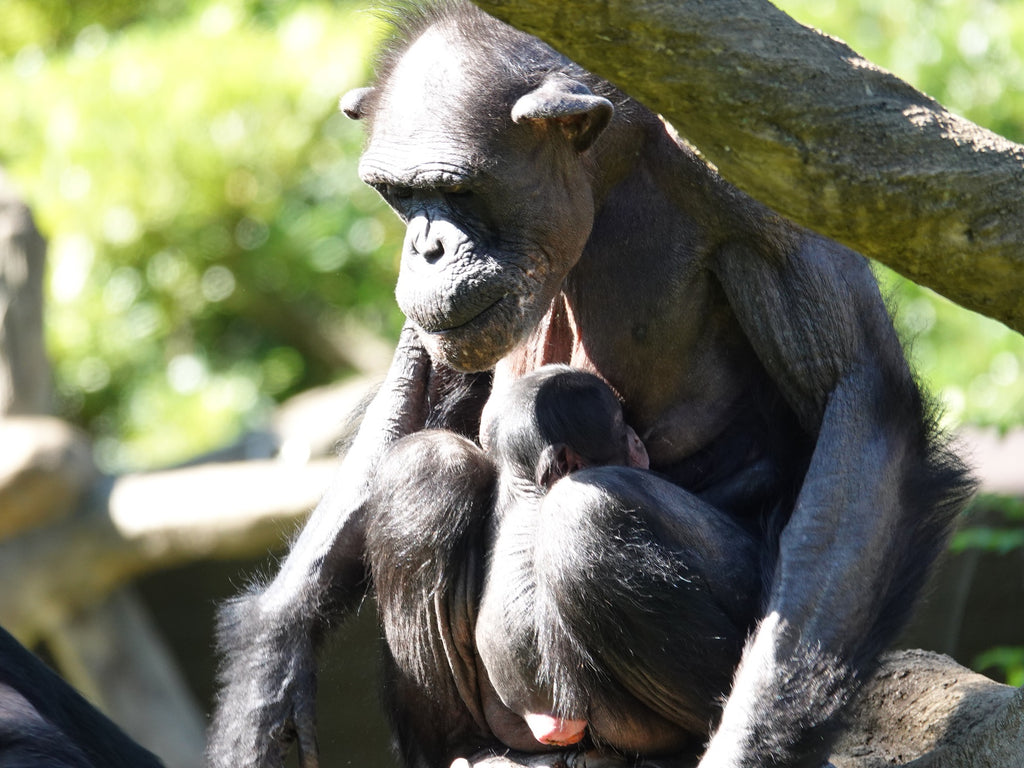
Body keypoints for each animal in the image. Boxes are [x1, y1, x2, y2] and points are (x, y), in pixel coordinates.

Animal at [203, 1, 970, 768]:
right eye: (400, 195)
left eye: (456, 190)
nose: (426, 247)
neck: (608, 170)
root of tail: (560, 732)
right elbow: (416, 394)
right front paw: (270, 674)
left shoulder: (753, 183)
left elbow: (854, 397)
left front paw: (753, 741)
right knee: (424, 471)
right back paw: (469, 742)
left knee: (594, 519)